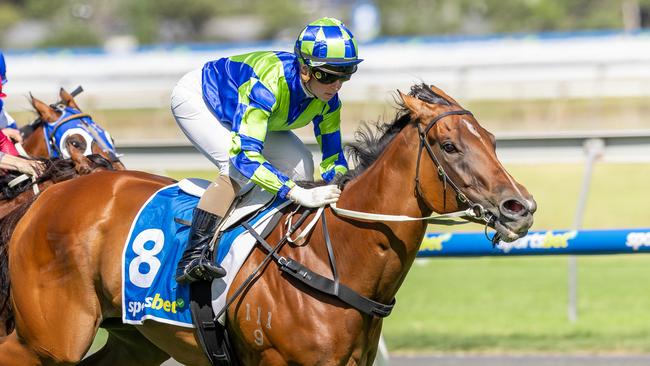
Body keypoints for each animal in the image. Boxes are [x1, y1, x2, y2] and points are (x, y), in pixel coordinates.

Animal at [0, 83, 536, 366]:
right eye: (449, 145)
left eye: (491, 138)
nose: (521, 207)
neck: (331, 258)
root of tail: (50, 193)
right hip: (50, 339)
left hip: (133, 340)